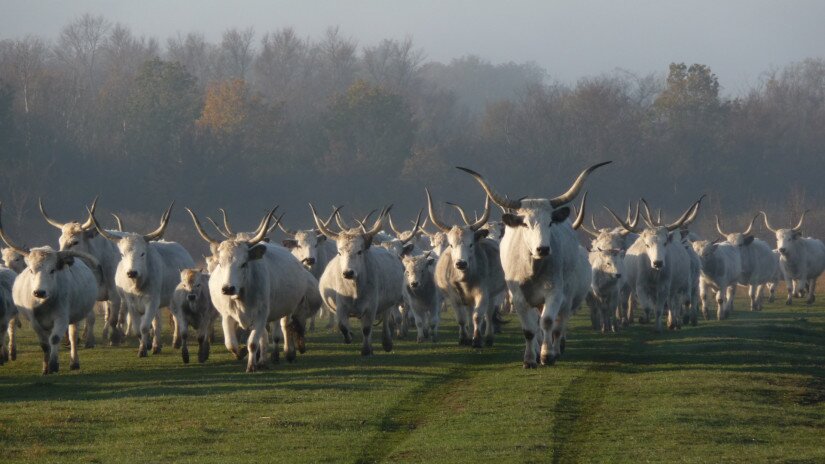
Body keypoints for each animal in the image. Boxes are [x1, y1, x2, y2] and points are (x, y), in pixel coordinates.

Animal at [190, 208, 322, 372]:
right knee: (265, 336)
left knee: (285, 326)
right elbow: (230, 343)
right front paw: (241, 353)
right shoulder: (227, 315)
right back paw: (263, 361)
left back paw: (288, 353)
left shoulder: (261, 314)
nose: (228, 288)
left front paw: (251, 365)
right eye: (220, 263)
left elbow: (253, 342)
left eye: (244, 263)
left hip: (287, 308)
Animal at [312, 206, 402, 356]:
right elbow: (342, 326)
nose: (348, 273)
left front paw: (366, 350)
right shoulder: (341, 306)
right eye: (339, 252)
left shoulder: (371, 307)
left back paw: (387, 343)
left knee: (385, 320)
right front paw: (349, 337)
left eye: (360, 251)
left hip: (387, 303)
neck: (354, 289)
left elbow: (366, 329)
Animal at [458, 162, 604, 366]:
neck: (532, 269)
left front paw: (547, 355)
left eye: (550, 222)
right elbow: (529, 329)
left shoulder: (555, 292)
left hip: (566, 297)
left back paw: (555, 348)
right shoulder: (518, 296)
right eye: (525, 224)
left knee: (557, 326)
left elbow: (548, 322)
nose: (543, 249)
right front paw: (529, 359)